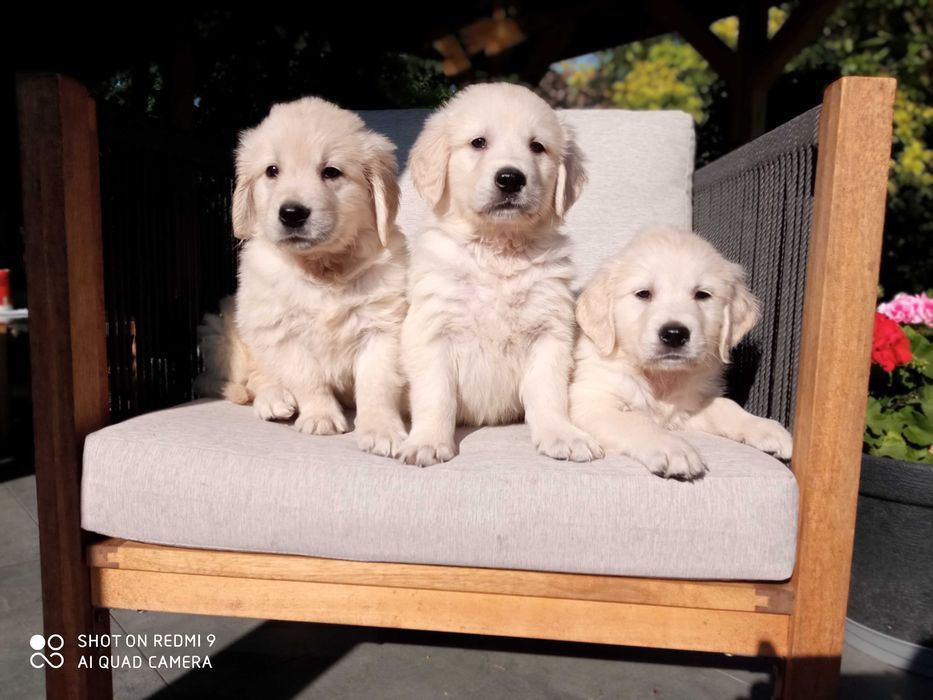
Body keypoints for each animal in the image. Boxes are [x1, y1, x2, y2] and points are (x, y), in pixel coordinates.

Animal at [214, 98, 408, 460]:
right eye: (272, 171)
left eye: (331, 172)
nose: (292, 213)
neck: (322, 266)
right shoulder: (278, 330)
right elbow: (306, 377)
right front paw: (320, 416)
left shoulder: (382, 327)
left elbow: (376, 385)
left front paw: (382, 430)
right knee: (255, 377)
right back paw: (274, 399)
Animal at [396, 82, 600, 464]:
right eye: (479, 142)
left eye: (537, 146)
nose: (510, 178)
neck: (498, 250)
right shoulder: (432, 328)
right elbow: (435, 395)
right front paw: (428, 441)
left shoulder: (550, 330)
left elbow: (549, 393)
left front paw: (562, 435)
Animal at [572, 227, 792, 478]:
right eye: (643, 294)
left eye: (702, 294)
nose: (675, 334)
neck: (660, 378)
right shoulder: (589, 402)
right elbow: (637, 421)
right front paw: (673, 448)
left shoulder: (687, 408)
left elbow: (726, 405)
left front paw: (765, 427)